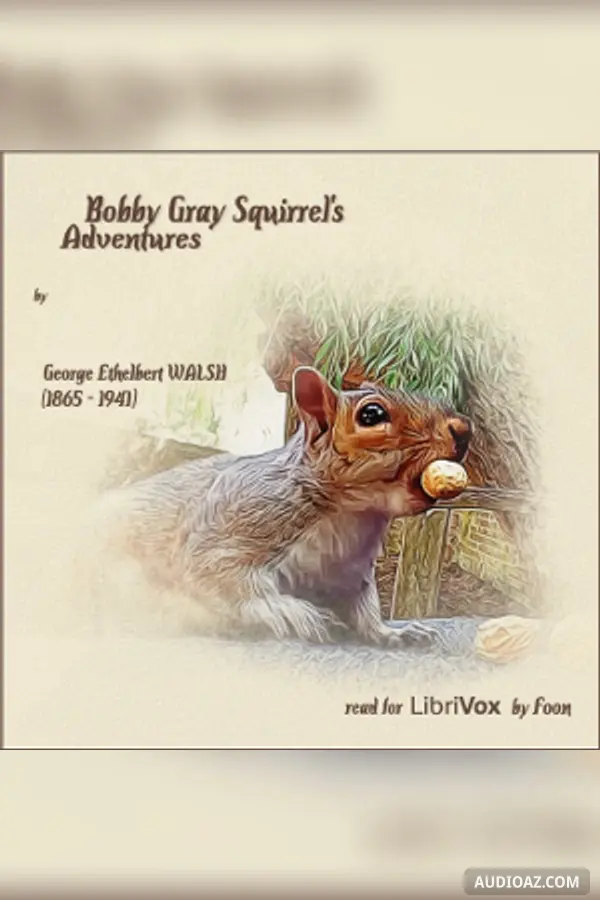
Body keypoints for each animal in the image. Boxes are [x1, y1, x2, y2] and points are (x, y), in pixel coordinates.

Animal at [109, 367, 472, 647]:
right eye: (372, 415)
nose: (464, 429)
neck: (351, 515)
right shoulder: (243, 518)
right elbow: (219, 574)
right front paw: (301, 615)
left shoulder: (351, 572)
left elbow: (364, 608)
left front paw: (393, 633)